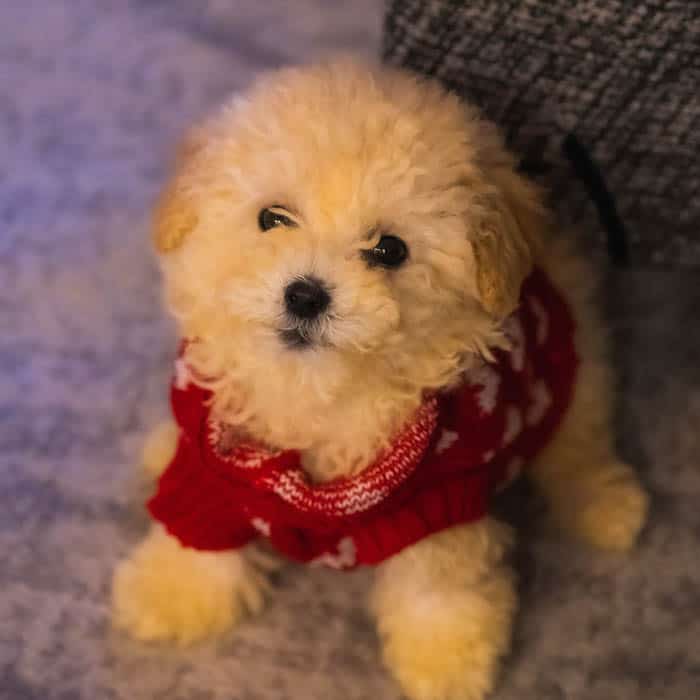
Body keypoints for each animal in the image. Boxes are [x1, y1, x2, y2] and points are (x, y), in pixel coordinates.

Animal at [112, 60, 648, 700]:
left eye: (389, 250)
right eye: (272, 218)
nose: (306, 294)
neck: (316, 391)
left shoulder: (439, 501)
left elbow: (439, 591)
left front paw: (448, 665)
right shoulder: (215, 477)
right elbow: (198, 533)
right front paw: (169, 596)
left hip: (574, 373)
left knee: (579, 447)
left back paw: (609, 508)